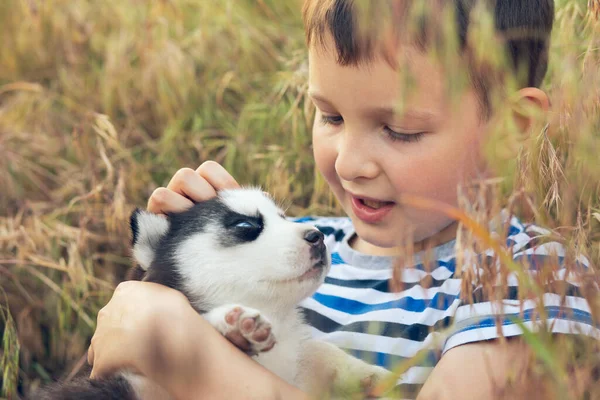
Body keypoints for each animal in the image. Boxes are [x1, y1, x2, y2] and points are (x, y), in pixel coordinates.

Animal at [35, 188, 390, 400]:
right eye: (246, 226)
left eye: (284, 219)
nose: (318, 237)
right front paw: (233, 326)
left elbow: (318, 349)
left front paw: (369, 374)